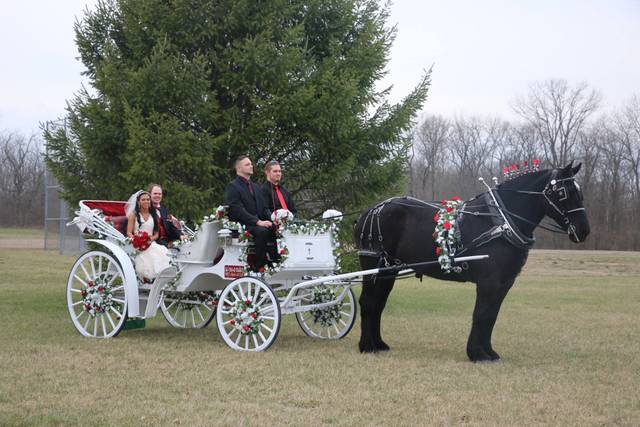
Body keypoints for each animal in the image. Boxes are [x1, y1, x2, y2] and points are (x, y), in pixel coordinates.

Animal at [356, 162, 592, 362]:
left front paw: (489, 352)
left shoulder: (504, 283)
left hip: (388, 270)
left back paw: (378, 344)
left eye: (579, 192)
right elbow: (481, 314)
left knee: (378, 303)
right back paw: (366, 346)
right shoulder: (489, 282)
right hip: (373, 267)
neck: (499, 222)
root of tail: (369, 211)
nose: (583, 231)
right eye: (563, 192)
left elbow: (491, 317)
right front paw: (477, 354)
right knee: (368, 302)